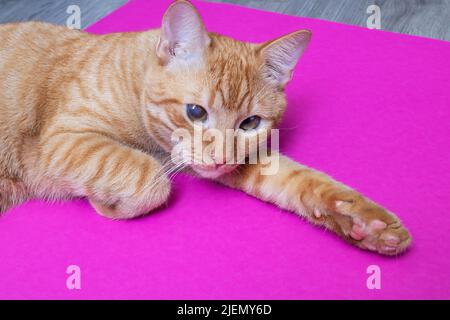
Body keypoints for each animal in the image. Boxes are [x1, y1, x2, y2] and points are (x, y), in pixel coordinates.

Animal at [0, 0, 410, 255]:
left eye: (250, 123)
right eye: (195, 112)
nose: (220, 159)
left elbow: (298, 179)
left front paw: (361, 219)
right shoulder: (57, 142)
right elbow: (147, 175)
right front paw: (108, 205)